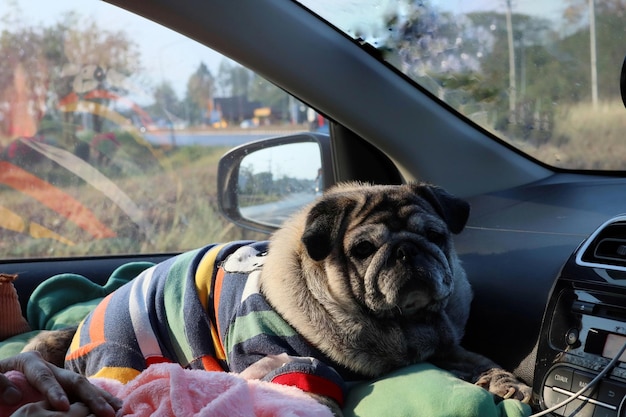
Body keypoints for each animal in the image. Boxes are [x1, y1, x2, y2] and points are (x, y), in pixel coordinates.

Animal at [26, 182, 528, 412]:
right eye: (363, 250)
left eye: (436, 236)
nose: (407, 250)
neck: (401, 328)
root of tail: (75, 333)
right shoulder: (281, 360)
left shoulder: (447, 345)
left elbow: (479, 362)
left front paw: (507, 383)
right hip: (123, 361)